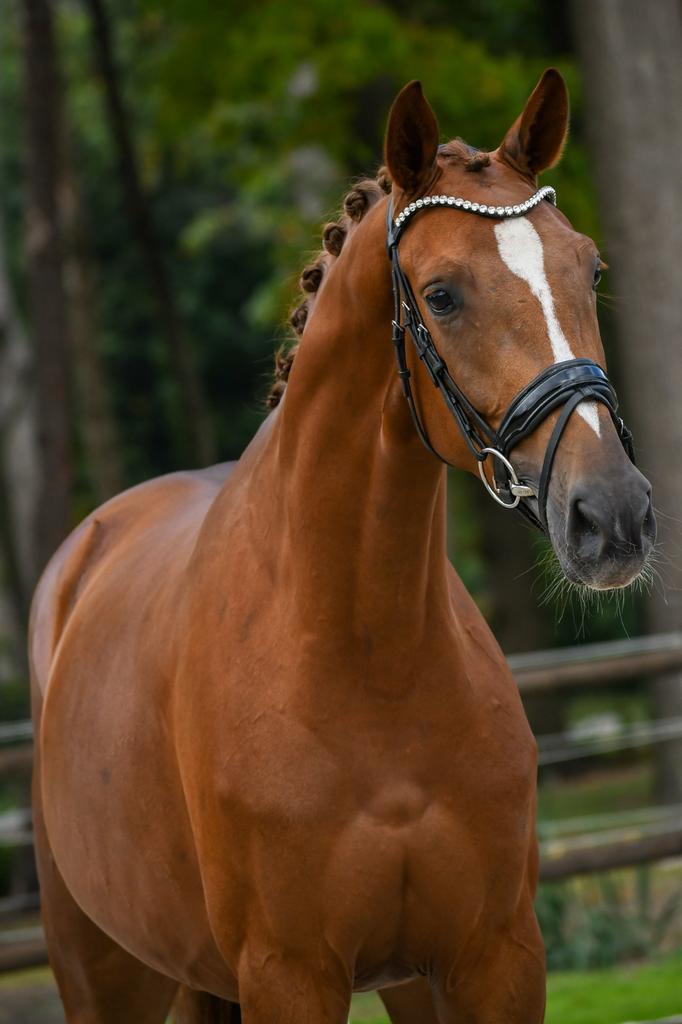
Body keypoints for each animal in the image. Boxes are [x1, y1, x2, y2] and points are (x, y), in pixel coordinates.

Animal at [30, 69, 655, 1023]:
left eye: (589, 268)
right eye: (442, 294)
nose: (613, 514)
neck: (367, 655)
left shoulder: (495, 958)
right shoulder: (289, 974)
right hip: (100, 968)